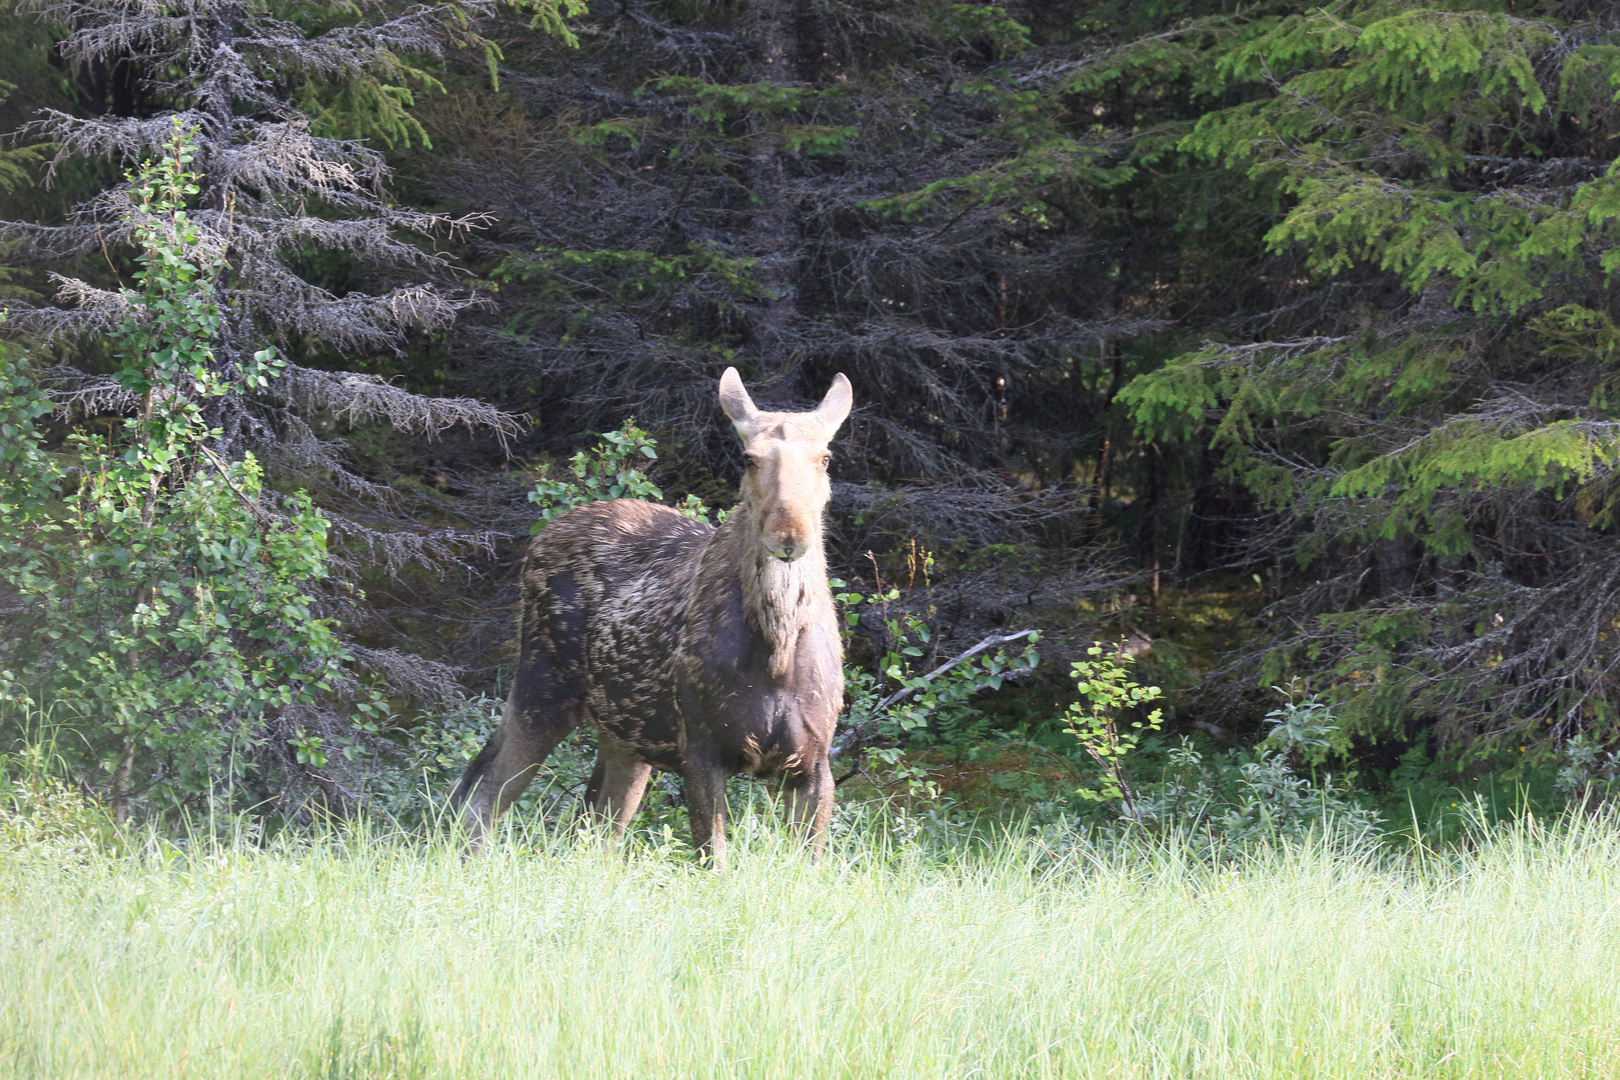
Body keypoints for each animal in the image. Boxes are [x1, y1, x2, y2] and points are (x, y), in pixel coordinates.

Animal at [450, 367, 855, 867]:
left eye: (825, 458)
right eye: (748, 457)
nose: (789, 533)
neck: (777, 651)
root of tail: (542, 537)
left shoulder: (815, 760)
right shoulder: (701, 748)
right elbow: (714, 862)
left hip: (624, 736)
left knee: (594, 827)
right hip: (542, 686)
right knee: (480, 797)